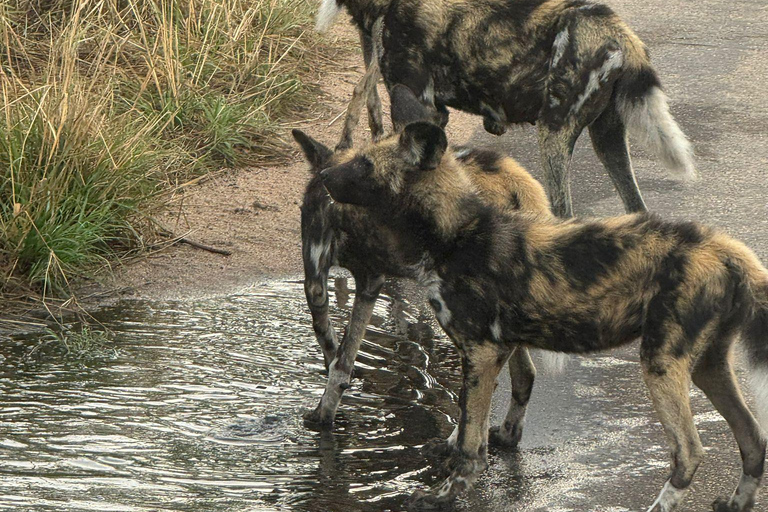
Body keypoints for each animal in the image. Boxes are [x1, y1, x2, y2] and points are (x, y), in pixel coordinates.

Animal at [294, 84, 552, 448]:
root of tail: (514, 186)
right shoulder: (353, 280)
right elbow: (340, 355)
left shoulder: (338, 279)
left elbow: (339, 355)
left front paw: (325, 413)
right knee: (524, 374)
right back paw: (505, 434)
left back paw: (457, 440)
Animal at [316, 0, 700, 218]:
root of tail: (620, 33)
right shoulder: (431, 113)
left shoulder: (418, 104)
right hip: (607, 136)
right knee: (638, 209)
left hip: (553, 134)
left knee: (563, 213)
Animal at [318, 120, 768, 512]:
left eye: (364, 164)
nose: (322, 174)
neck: (455, 234)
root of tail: (727, 249)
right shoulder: (495, 349)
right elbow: (472, 420)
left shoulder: (480, 351)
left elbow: (470, 446)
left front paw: (444, 494)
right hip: (708, 366)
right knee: (753, 439)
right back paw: (736, 503)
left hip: (660, 363)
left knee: (689, 452)